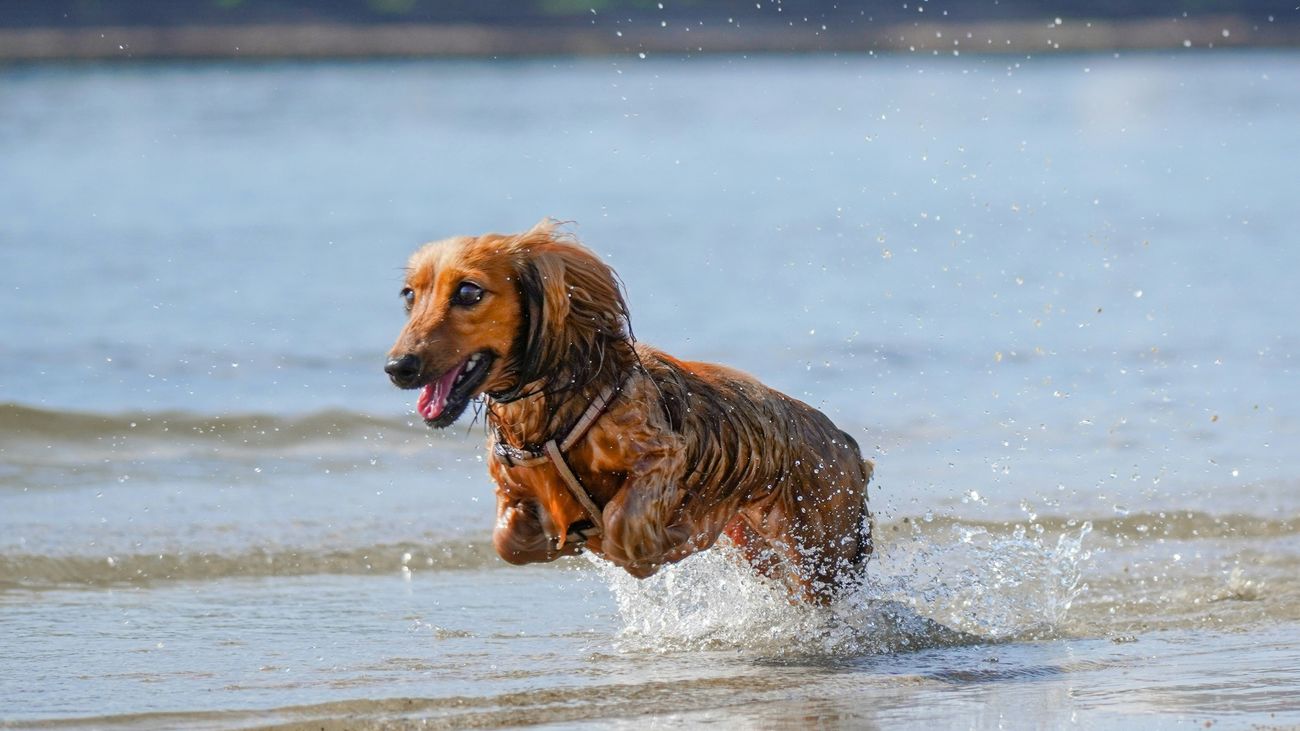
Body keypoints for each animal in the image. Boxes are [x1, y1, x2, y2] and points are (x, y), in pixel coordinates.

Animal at [384, 217, 873, 598]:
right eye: (409, 295)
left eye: (468, 292)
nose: (397, 367)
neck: (548, 413)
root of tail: (846, 442)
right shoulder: (512, 490)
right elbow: (508, 542)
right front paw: (560, 540)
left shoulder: (660, 455)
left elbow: (622, 528)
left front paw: (662, 541)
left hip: (821, 553)